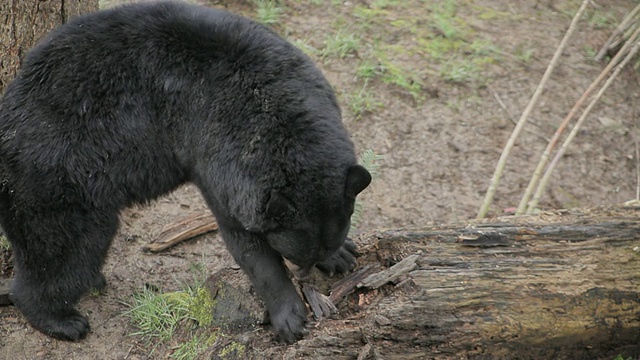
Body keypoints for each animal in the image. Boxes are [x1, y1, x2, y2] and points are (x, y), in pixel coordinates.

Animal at [0, 0, 370, 344]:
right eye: (294, 255)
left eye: (318, 251)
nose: (305, 276)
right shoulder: (218, 161)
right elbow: (247, 246)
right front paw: (289, 316)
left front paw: (341, 255)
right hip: (60, 179)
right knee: (63, 249)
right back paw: (61, 320)